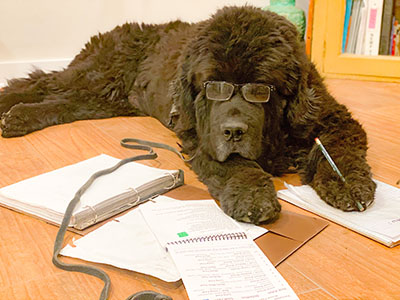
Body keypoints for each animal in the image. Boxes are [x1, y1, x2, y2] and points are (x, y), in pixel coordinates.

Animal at [0, 5, 376, 224]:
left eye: (261, 88)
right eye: (212, 85)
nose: (234, 131)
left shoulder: (332, 118)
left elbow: (339, 151)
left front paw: (348, 184)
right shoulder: (205, 135)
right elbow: (236, 165)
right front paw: (252, 196)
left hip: (106, 98)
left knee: (63, 102)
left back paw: (19, 116)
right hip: (99, 75)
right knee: (42, 81)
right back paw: (11, 107)